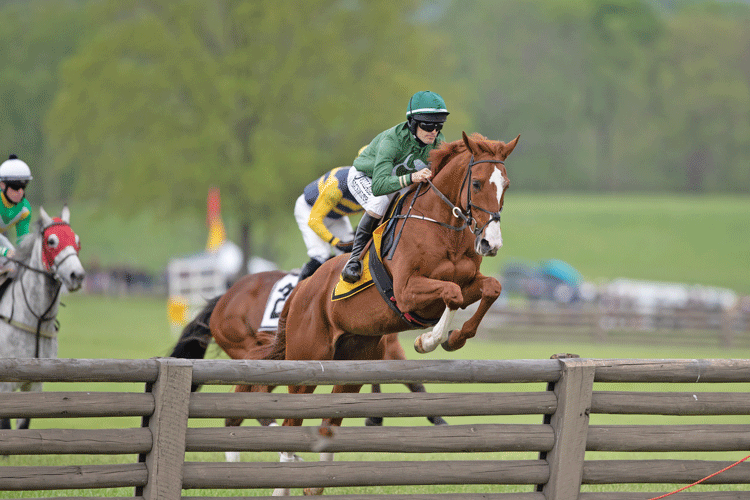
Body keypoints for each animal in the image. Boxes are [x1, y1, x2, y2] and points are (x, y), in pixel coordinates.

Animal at [0, 206, 85, 430]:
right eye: (51, 241)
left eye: (77, 240)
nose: (77, 276)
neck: (36, 319)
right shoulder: (5, 385)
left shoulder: (34, 384)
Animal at [266, 132, 524, 496]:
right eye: (476, 183)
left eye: (506, 185)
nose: (491, 243)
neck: (445, 229)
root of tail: (301, 291)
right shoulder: (406, 291)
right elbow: (452, 293)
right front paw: (428, 340)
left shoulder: (469, 281)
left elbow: (491, 288)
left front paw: (456, 339)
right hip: (307, 361)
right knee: (292, 420)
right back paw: (283, 486)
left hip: (353, 364)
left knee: (331, 416)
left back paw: (315, 485)